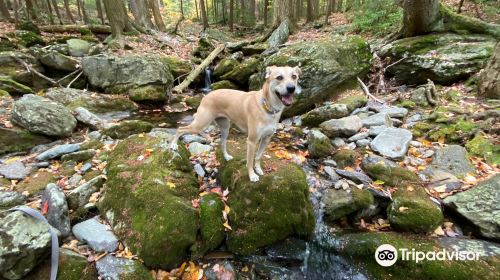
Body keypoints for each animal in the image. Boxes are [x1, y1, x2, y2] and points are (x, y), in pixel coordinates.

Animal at [170, 65, 298, 182]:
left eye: (294, 76)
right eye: (279, 77)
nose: (291, 88)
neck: (267, 107)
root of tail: (206, 95)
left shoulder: (266, 138)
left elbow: (258, 156)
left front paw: (258, 169)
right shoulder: (252, 141)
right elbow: (249, 160)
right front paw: (252, 175)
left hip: (224, 127)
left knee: (222, 143)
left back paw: (226, 156)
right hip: (201, 123)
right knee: (180, 129)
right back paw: (174, 145)